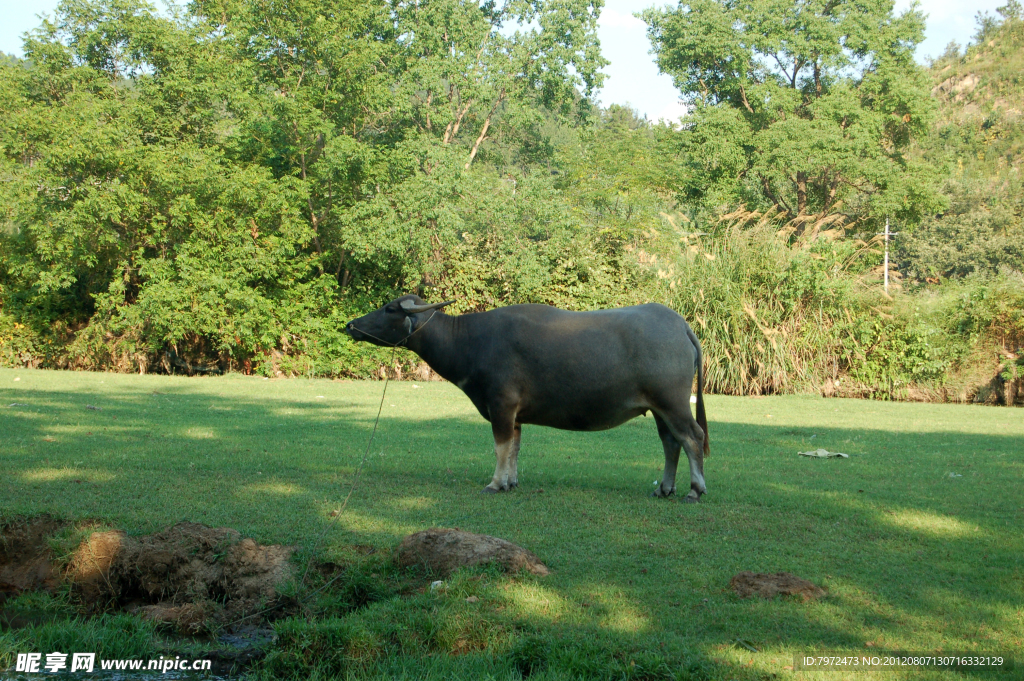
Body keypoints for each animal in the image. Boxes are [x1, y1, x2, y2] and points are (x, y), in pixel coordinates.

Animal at [344, 294, 704, 497]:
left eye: (389, 308)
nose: (350, 325)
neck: (469, 341)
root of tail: (681, 326)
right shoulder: (515, 415)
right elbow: (514, 448)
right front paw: (510, 482)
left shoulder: (501, 405)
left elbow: (500, 447)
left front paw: (494, 484)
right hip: (659, 408)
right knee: (671, 443)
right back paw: (665, 488)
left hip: (673, 404)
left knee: (692, 438)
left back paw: (695, 489)